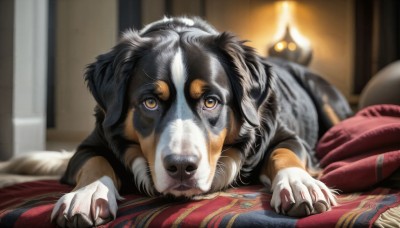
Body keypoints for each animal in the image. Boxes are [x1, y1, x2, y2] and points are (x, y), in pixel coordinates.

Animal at [0, 16, 352, 227]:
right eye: (150, 102)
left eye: (211, 101)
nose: (182, 166)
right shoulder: (88, 146)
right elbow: (95, 162)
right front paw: (87, 194)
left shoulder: (287, 136)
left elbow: (284, 153)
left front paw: (300, 184)